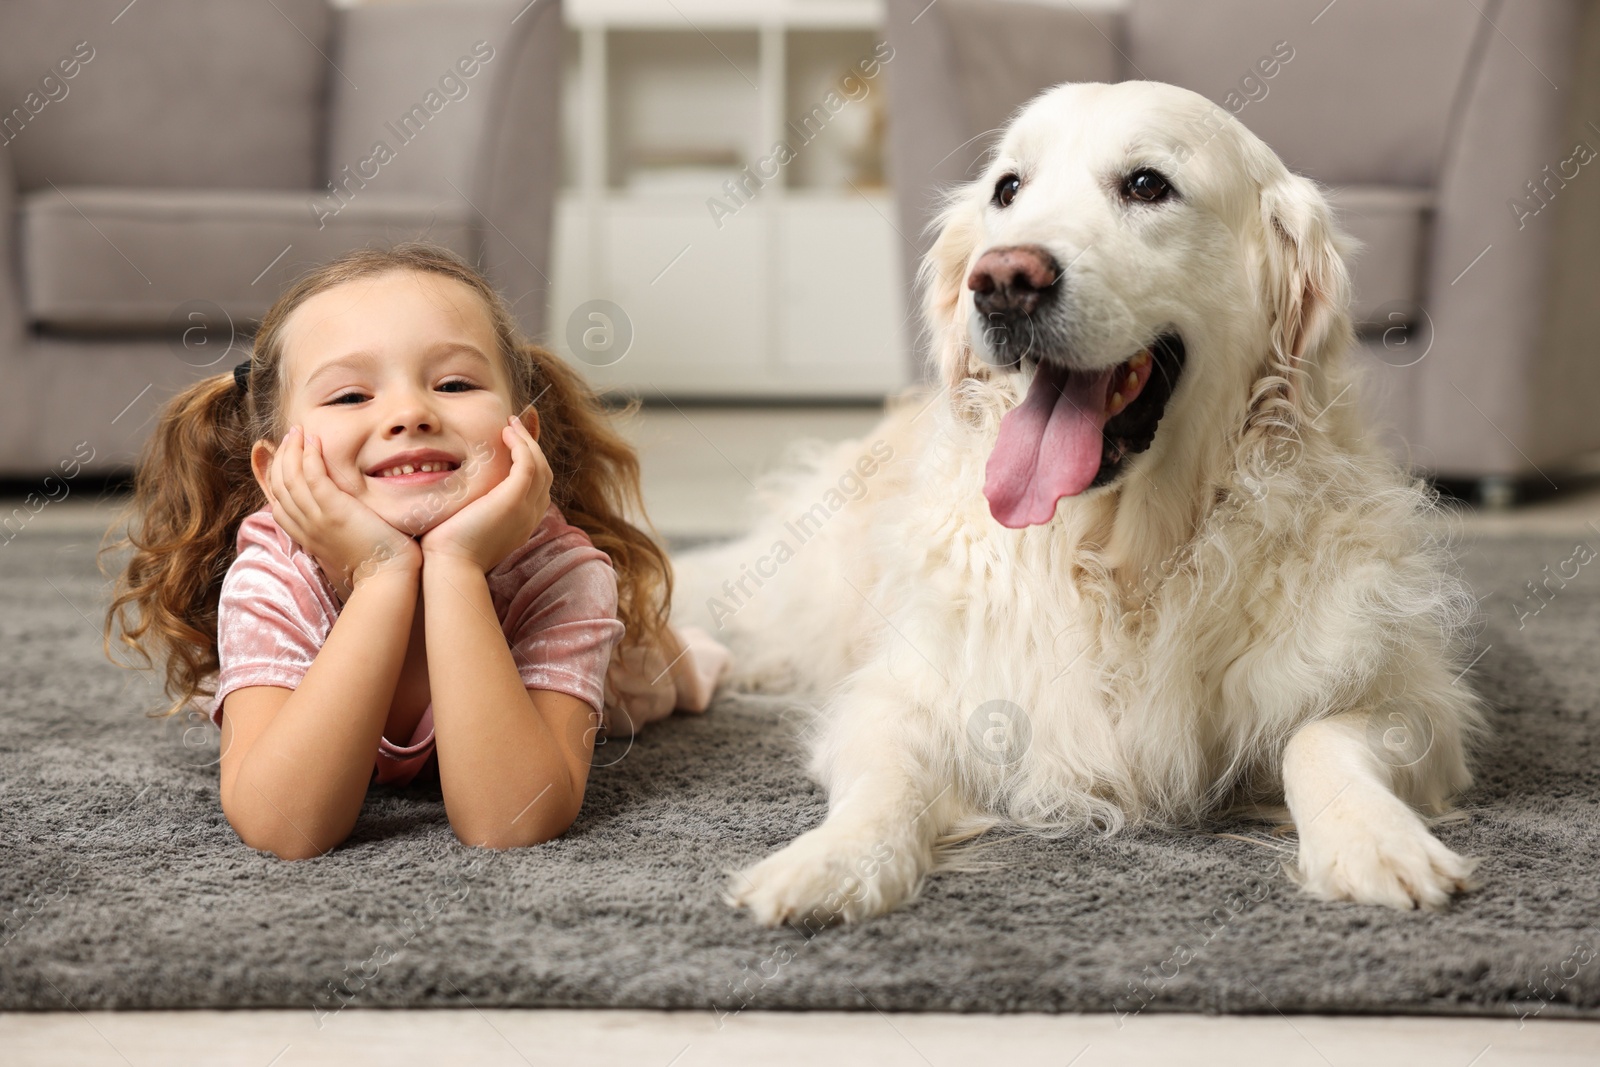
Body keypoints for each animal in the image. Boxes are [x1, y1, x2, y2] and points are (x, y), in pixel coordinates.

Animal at [672, 81, 1484, 927]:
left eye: (1148, 184)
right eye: (1007, 189)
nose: (1002, 280)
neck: (1119, 561)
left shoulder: (1416, 703)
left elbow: (1317, 738)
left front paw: (1374, 839)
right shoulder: (905, 687)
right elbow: (884, 776)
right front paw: (834, 860)